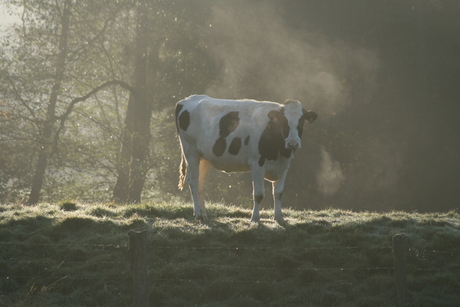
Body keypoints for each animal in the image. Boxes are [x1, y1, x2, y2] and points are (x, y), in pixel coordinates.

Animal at [174, 95, 318, 225]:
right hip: (191, 151)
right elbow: (259, 194)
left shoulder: (284, 166)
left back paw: (204, 214)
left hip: (204, 157)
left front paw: (280, 218)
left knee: (201, 183)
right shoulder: (257, 164)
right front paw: (255, 219)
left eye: (301, 122)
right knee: (194, 182)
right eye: (283, 121)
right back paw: (198, 214)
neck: (279, 152)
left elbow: (278, 193)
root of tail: (187, 99)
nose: (293, 143)